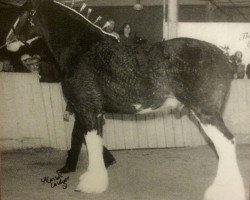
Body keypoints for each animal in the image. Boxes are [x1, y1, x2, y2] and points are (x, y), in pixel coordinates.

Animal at [4, 0, 245, 199]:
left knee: (226, 142)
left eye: (23, 13)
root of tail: (224, 57)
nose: (7, 42)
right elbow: (93, 141)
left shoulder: (86, 108)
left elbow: (91, 142)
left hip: (206, 112)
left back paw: (223, 191)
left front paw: (92, 185)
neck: (82, 48)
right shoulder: (91, 111)